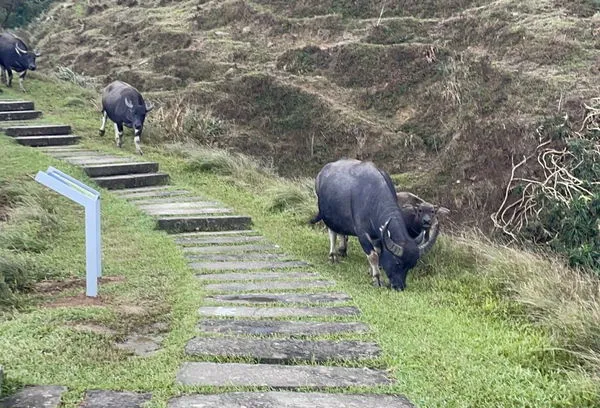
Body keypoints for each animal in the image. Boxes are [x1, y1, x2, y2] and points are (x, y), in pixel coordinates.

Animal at [312, 159, 438, 290]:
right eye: (397, 262)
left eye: (411, 265)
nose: (399, 287)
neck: (372, 198)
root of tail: (321, 173)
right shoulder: (363, 234)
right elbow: (373, 256)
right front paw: (377, 278)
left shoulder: (378, 236)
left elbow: (378, 253)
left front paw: (371, 271)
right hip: (327, 216)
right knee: (332, 233)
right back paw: (333, 255)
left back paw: (342, 250)